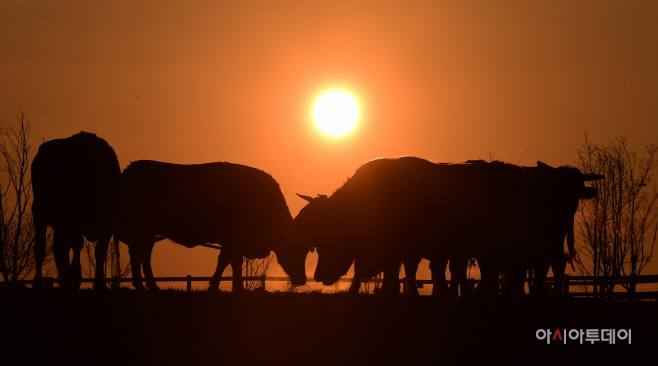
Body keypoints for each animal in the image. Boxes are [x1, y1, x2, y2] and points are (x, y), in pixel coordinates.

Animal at [31, 132, 120, 288]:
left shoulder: (108, 225)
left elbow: (100, 251)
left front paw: (100, 283)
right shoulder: (72, 219)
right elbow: (78, 244)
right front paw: (74, 277)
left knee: (59, 247)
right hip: (39, 212)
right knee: (40, 247)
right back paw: (38, 282)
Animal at [114, 161, 308, 292]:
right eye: (297, 249)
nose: (302, 279)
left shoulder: (233, 243)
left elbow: (227, 261)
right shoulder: (233, 240)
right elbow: (229, 261)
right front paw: (232, 287)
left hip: (147, 233)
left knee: (141, 256)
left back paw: (147, 286)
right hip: (143, 231)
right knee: (141, 256)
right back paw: (146, 286)